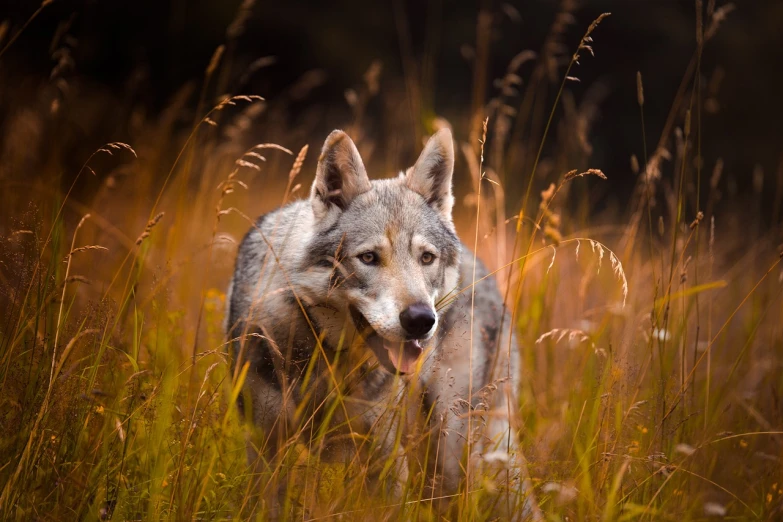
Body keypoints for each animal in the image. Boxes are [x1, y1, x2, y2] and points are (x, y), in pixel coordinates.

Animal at [225, 127, 540, 516]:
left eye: (426, 258)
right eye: (369, 258)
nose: (421, 320)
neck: (329, 362)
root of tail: (486, 270)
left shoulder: (385, 460)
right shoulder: (265, 450)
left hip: (451, 454)